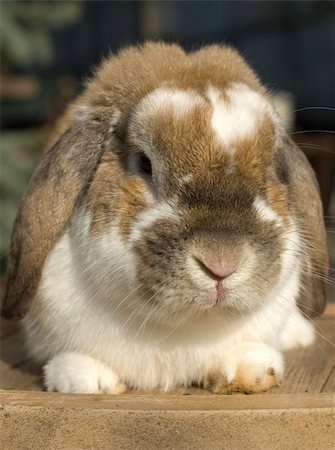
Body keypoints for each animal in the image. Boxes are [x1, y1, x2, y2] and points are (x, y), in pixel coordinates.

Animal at [1, 42, 328, 394]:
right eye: (145, 164)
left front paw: (251, 370)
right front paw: (87, 380)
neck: (178, 330)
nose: (221, 263)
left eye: (269, 172)